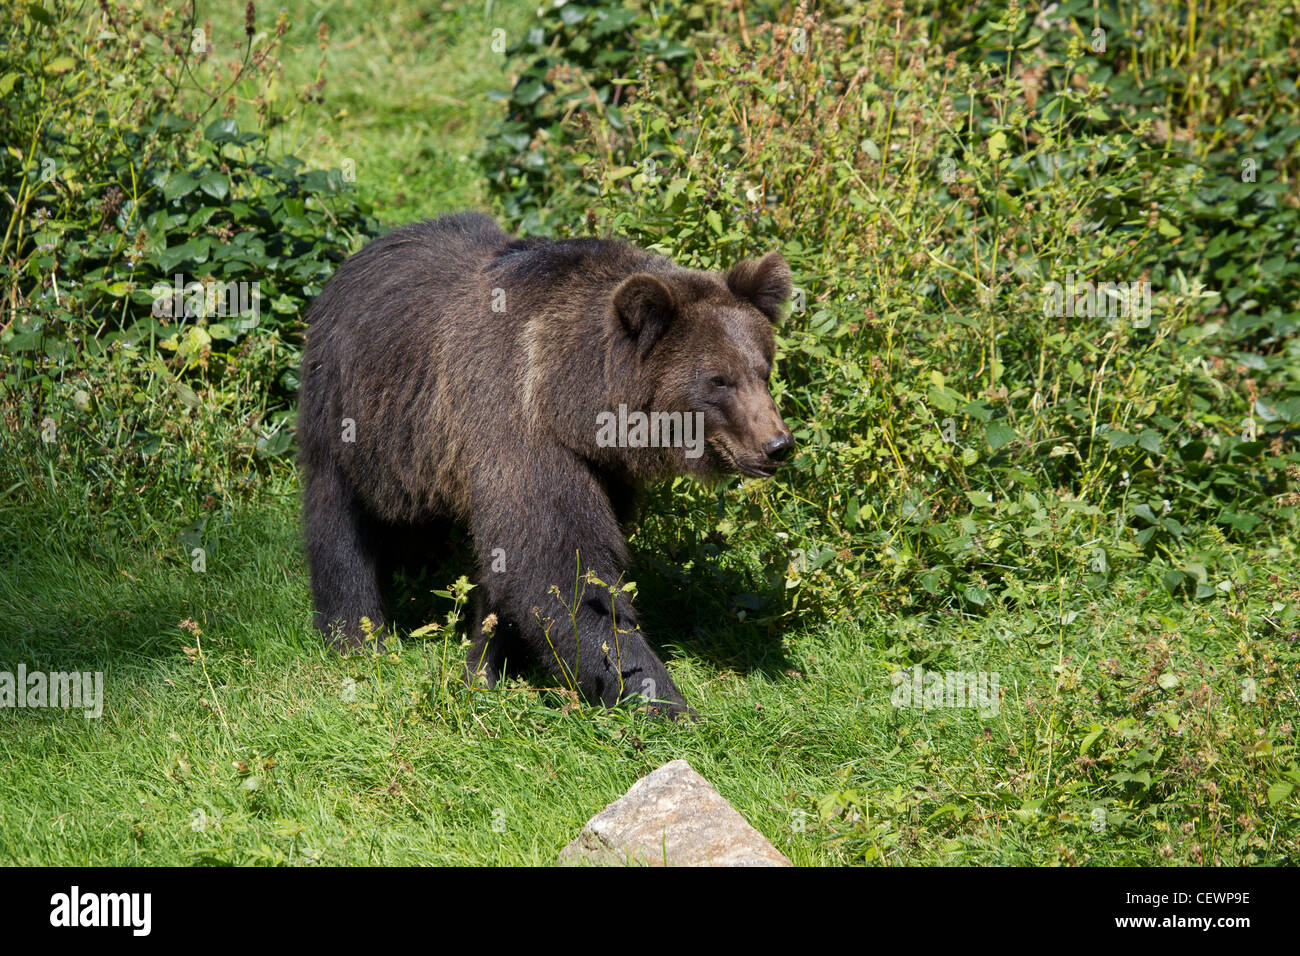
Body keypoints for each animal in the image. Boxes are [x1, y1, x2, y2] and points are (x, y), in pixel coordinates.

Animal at [297, 210, 790, 717]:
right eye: (719, 380)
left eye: (764, 369)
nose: (777, 445)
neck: (572, 398)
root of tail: (359, 255)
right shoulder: (519, 429)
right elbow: (562, 570)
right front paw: (662, 698)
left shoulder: (602, 470)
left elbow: (515, 569)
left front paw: (486, 663)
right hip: (348, 408)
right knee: (339, 522)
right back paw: (356, 635)